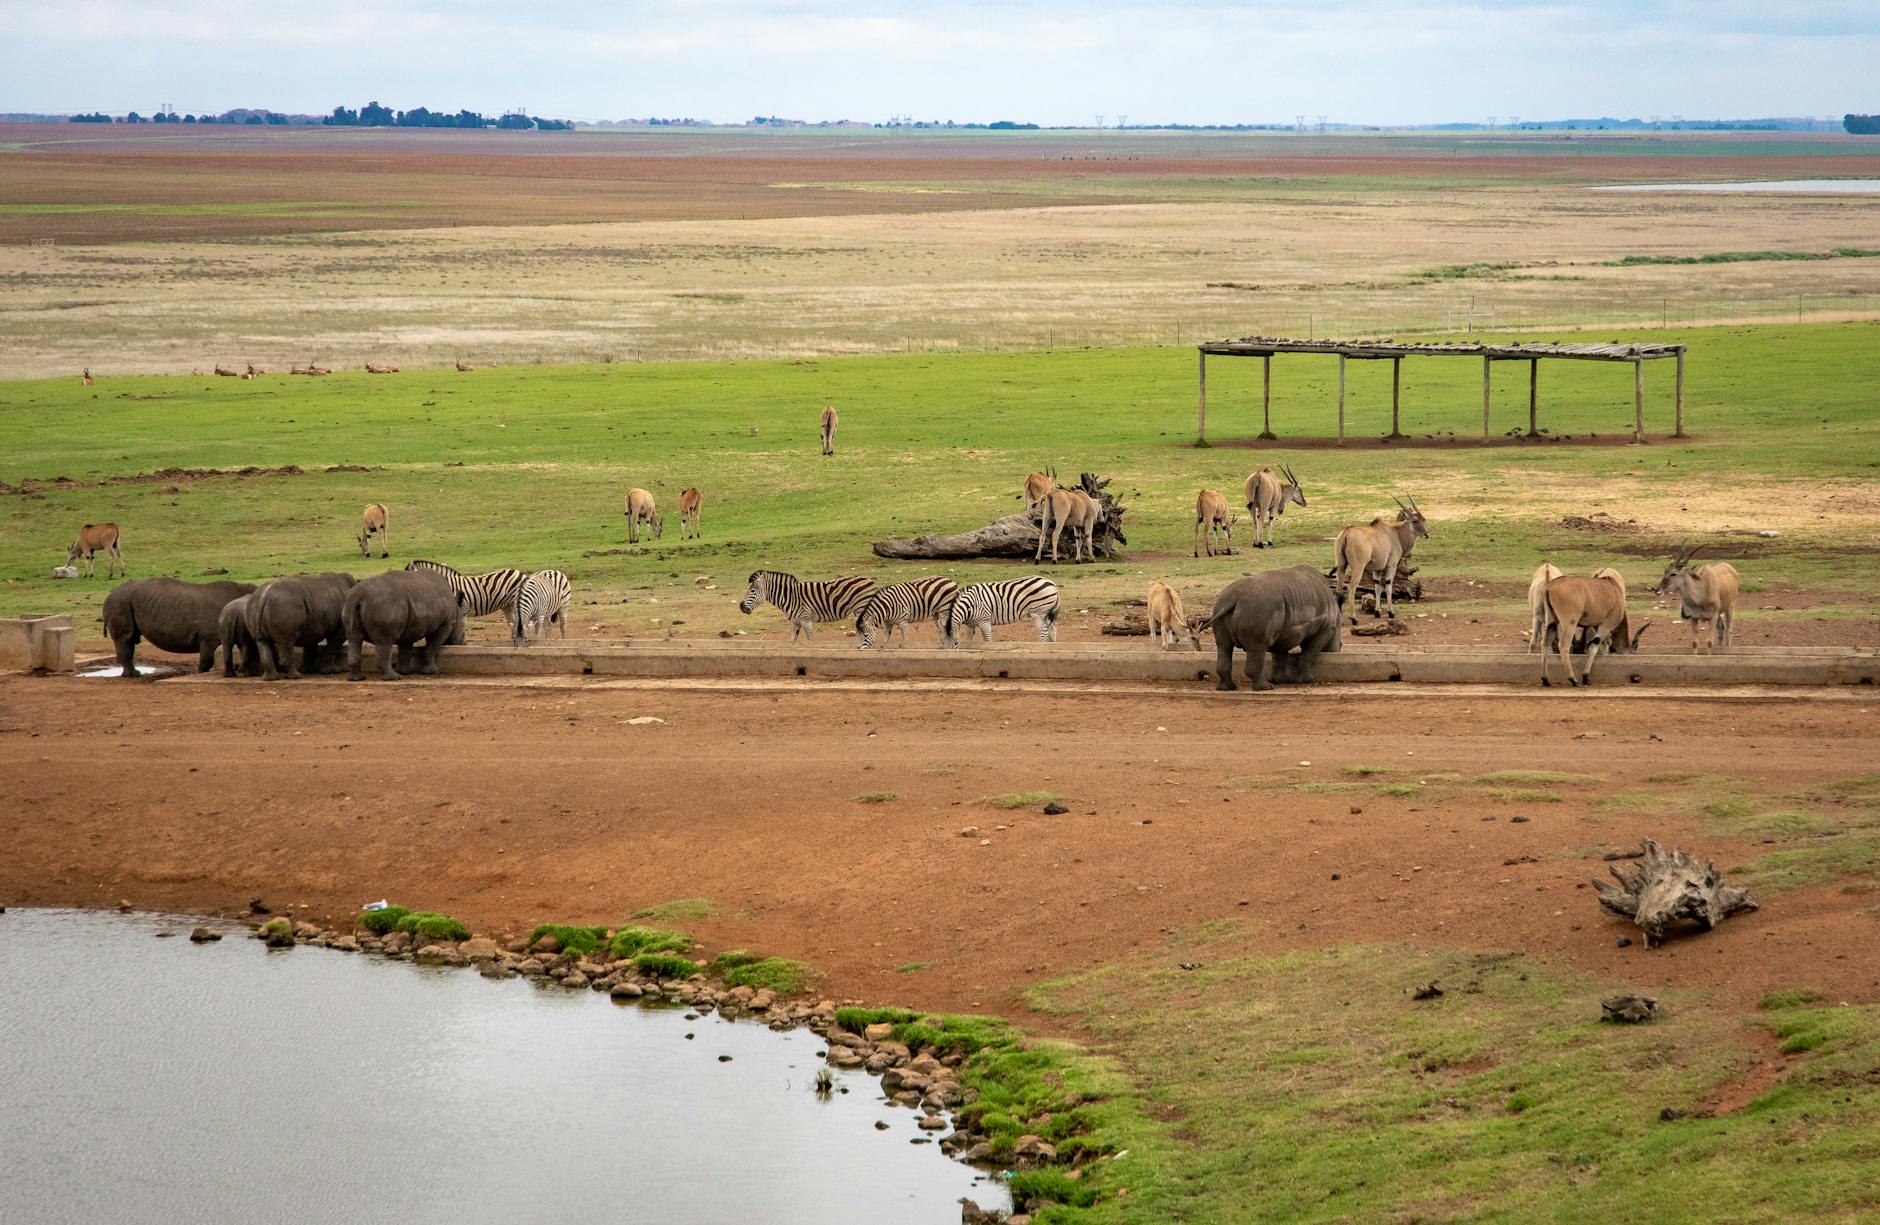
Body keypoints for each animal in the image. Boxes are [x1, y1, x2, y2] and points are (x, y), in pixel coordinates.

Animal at [739, 570, 875, 641]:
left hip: (862, 609)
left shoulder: (806, 620)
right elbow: (792, 641)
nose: (741, 607)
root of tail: (869, 579)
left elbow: (810, 639)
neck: (789, 597)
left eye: (752, 591)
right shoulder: (795, 622)